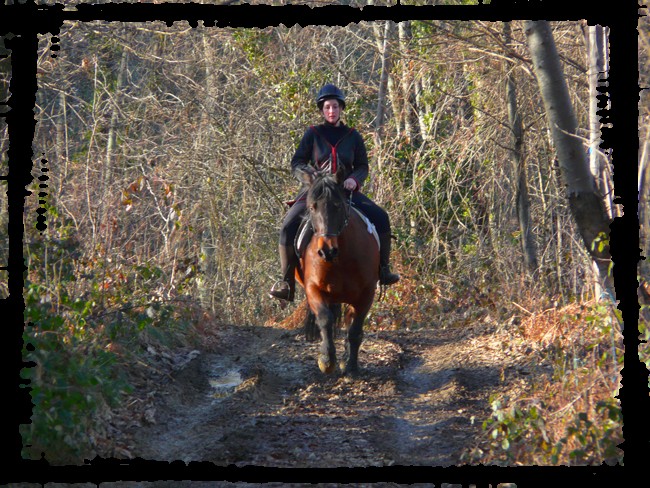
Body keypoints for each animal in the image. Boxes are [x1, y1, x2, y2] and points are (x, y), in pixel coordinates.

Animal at [294, 166, 380, 376]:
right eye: (312, 207)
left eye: (338, 205)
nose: (327, 250)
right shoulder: (313, 288)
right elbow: (325, 319)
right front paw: (326, 360)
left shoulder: (366, 293)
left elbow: (355, 330)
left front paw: (350, 367)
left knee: (350, 321)